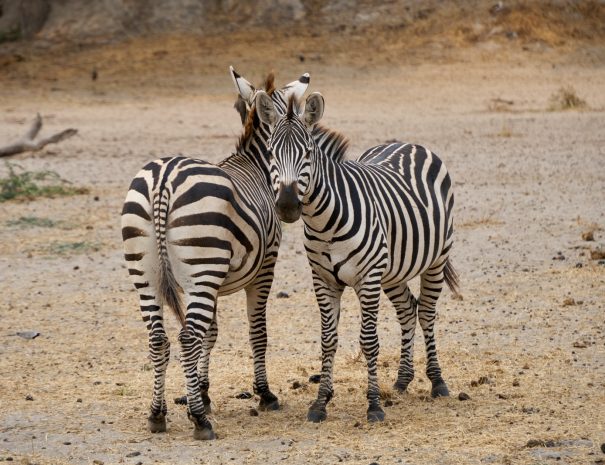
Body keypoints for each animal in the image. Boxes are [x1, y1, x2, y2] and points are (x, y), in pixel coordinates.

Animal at [121, 69, 312, 438]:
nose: (289, 206)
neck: (257, 167)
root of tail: (163, 179)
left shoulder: (212, 283)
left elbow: (211, 334)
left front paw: (203, 391)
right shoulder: (264, 268)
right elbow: (257, 332)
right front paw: (264, 394)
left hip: (148, 273)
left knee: (159, 339)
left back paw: (157, 414)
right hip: (201, 267)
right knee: (186, 337)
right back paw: (199, 421)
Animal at [254, 89, 458, 420]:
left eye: (307, 153)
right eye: (271, 154)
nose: (286, 206)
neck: (325, 222)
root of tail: (407, 144)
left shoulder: (368, 277)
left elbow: (369, 341)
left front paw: (373, 405)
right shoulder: (323, 279)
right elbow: (328, 340)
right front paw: (320, 403)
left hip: (436, 258)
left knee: (427, 312)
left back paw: (437, 382)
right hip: (393, 270)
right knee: (408, 309)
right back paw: (403, 379)